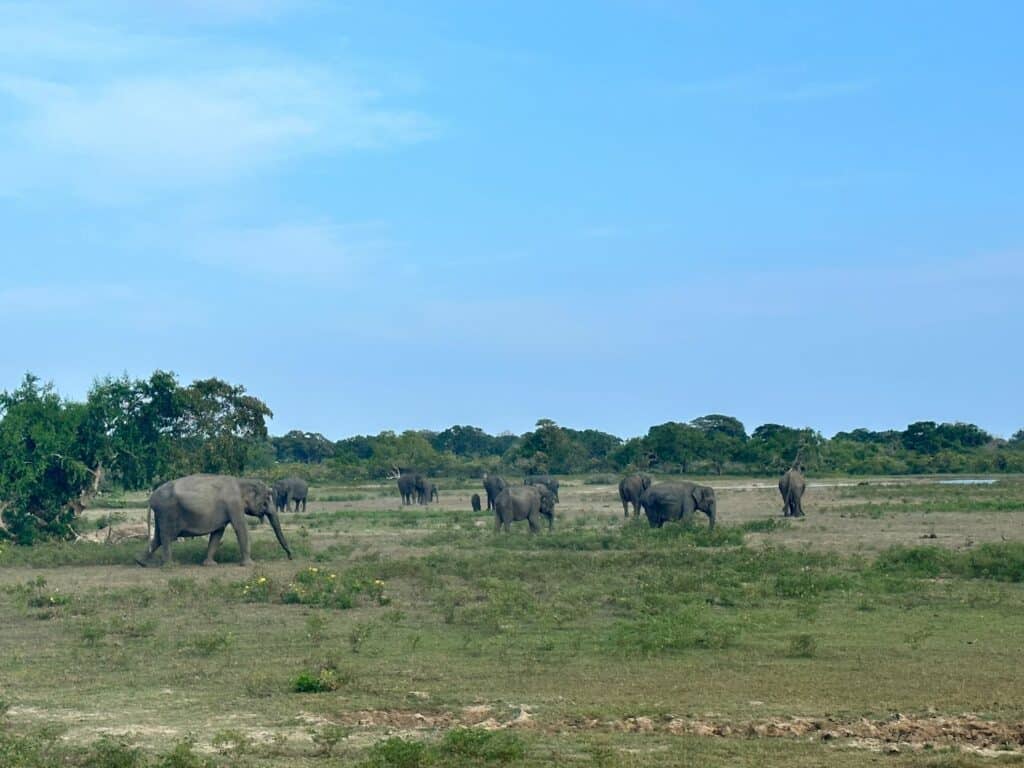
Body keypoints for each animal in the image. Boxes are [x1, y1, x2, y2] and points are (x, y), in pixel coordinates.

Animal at [136, 473, 292, 569]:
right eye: (267, 499)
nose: (290, 557)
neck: (242, 481)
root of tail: (152, 498)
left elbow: (218, 533)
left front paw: (210, 564)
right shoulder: (234, 504)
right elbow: (240, 527)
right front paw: (249, 565)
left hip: (160, 515)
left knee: (158, 538)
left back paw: (142, 563)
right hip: (167, 513)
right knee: (167, 537)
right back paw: (171, 566)